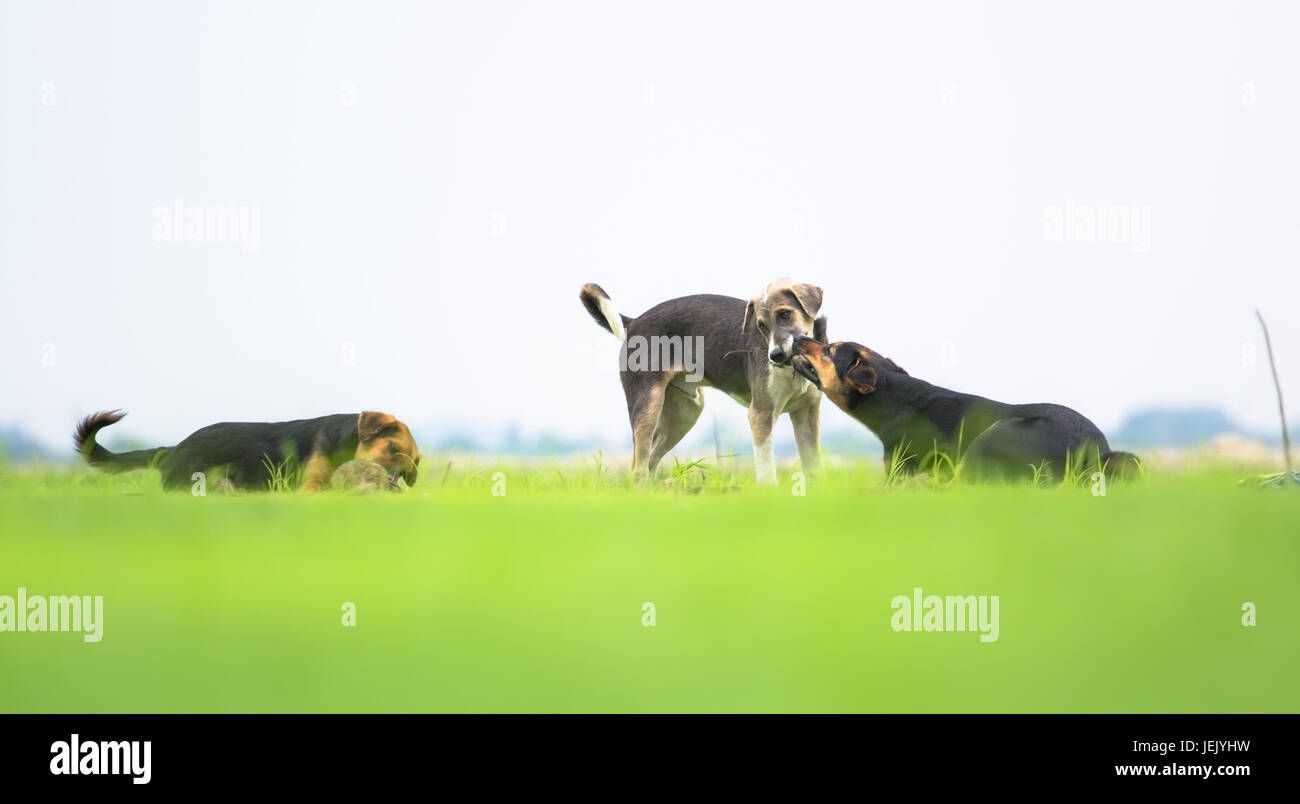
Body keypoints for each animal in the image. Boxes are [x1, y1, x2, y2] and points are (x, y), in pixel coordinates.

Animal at [577, 279, 821, 481]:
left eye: (785, 314)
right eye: (761, 326)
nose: (776, 355)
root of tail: (634, 322)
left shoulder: (807, 413)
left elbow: (813, 467)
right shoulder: (761, 414)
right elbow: (767, 471)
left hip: (684, 414)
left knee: (649, 466)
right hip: (648, 408)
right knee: (638, 469)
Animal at [780, 335, 1138, 478]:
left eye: (829, 349)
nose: (797, 337)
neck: (895, 400)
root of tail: (1098, 453)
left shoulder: (901, 472)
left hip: (995, 434)